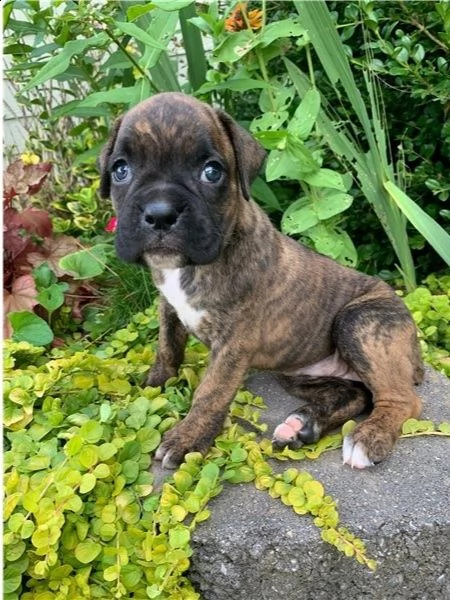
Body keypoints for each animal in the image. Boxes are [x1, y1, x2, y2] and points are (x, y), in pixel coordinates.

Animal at [99, 91, 426, 472]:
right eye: (121, 169)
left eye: (211, 172)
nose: (160, 213)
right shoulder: (168, 306)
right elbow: (167, 348)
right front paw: (154, 385)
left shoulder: (233, 342)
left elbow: (211, 391)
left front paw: (187, 439)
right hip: (300, 367)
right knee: (356, 394)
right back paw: (302, 426)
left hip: (359, 321)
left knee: (400, 399)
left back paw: (367, 438)